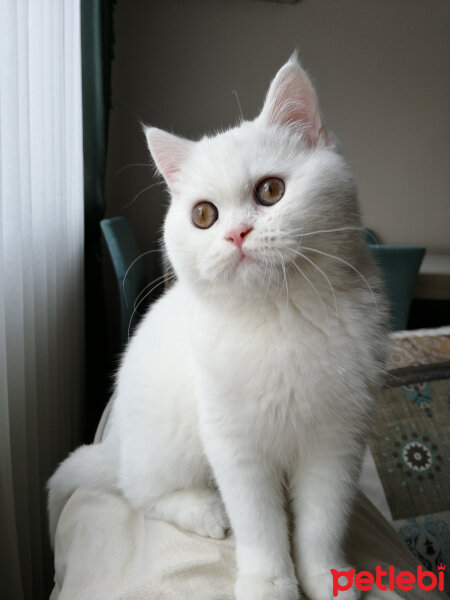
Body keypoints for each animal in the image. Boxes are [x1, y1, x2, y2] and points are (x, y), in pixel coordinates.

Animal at [48, 52, 386, 600]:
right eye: (204, 215)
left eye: (271, 190)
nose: (236, 234)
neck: (278, 318)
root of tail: (118, 446)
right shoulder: (233, 443)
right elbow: (260, 523)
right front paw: (269, 582)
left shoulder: (336, 442)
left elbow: (322, 521)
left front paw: (326, 577)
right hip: (170, 442)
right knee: (137, 491)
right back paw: (204, 510)